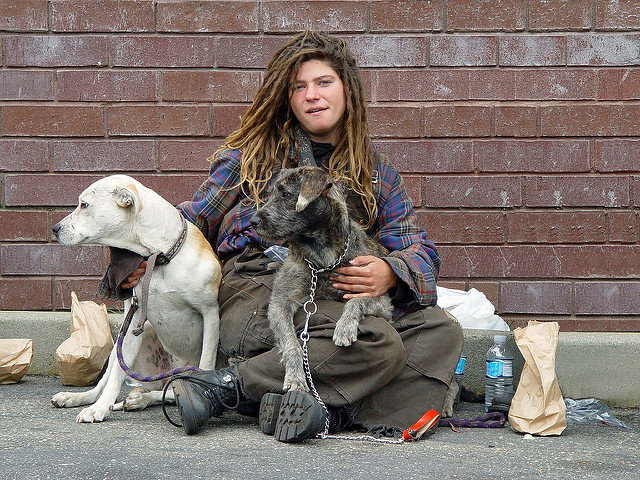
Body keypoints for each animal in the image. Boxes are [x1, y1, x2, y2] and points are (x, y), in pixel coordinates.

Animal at [50, 174, 221, 422]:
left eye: (84, 205)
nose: (55, 228)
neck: (159, 257)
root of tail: (169, 371)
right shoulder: (133, 321)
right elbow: (115, 377)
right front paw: (99, 409)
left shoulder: (210, 314)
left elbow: (206, 364)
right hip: (125, 343)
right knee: (109, 381)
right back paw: (84, 398)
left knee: (171, 391)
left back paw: (141, 398)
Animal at [251, 167, 396, 392]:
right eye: (270, 194)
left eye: (286, 194)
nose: (253, 221)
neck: (321, 254)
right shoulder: (280, 304)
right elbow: (291, 343)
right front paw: (295, 377)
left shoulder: (380, 298)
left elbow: (356, 301)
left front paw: (344, 327)